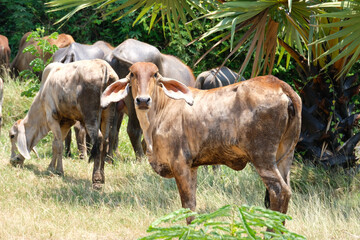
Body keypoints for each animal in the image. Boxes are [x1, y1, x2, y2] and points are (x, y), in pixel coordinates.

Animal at [9, 59, 117, 188]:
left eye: (12, 136)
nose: (12, 160)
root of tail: (104, 67)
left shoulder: (52, 118)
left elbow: (59, 145)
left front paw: (59, 171)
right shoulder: (66, 122)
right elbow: (55, 143)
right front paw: (50, 167)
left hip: (91, 116)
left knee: (99, 139)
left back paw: (96, 179)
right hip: (108, 113)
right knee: (105, 140)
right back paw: (103, 176)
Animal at [100, 62, 300, 223]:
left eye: (155, 74)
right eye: (132, 74)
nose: (142, 100)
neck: (161, 112)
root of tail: (277, 83)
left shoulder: (180, 164)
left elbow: (188, 207)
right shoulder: (193, 166)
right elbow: (193, 205)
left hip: (262, 157)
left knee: (279, 192)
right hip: (285, 155)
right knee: (287, 191)